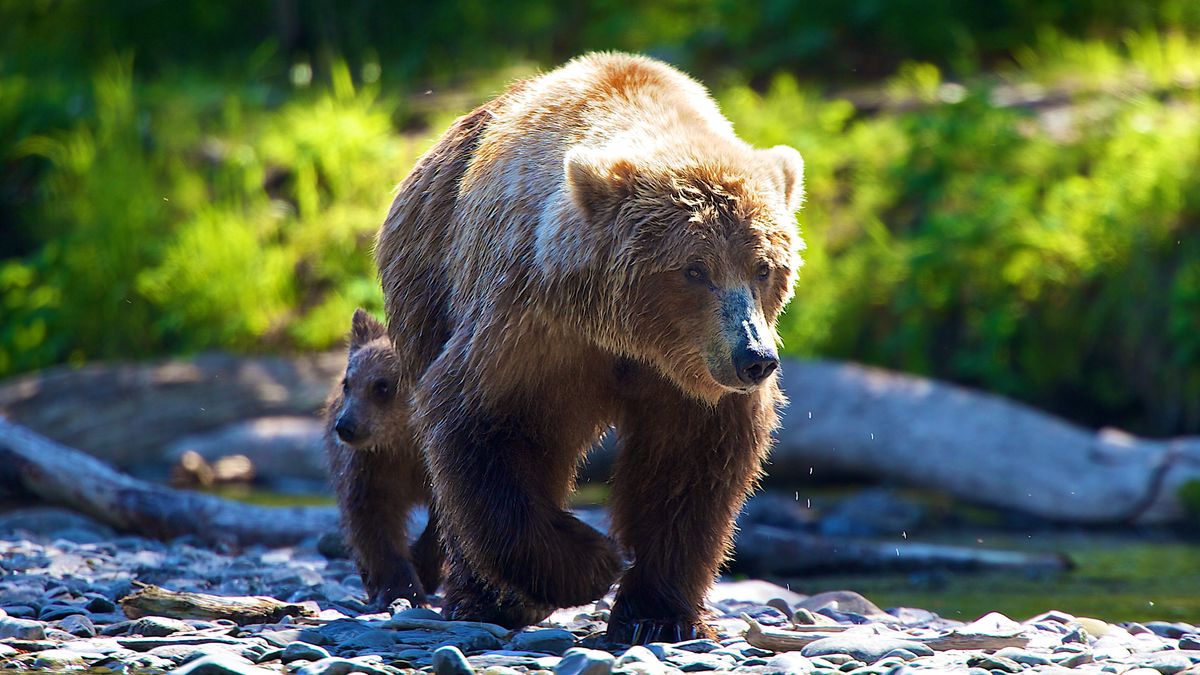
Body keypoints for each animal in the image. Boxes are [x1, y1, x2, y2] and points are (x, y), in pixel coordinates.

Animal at [324, 307, 446, 607]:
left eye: (382, 386)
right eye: (348, 383)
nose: (346, 426)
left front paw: (424, 569)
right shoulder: (372, 467)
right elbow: (373, 522)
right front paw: (403, 588)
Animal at [374, 53, 806, 638]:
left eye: (764, 267)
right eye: (695, 269)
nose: (754, 358)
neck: (632, 339)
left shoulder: (690, 379)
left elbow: (688, 468)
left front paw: (656, 614)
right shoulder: (533, 327)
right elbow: (484, 427)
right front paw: (594, 562)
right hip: (429, 282)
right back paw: (483, 598)